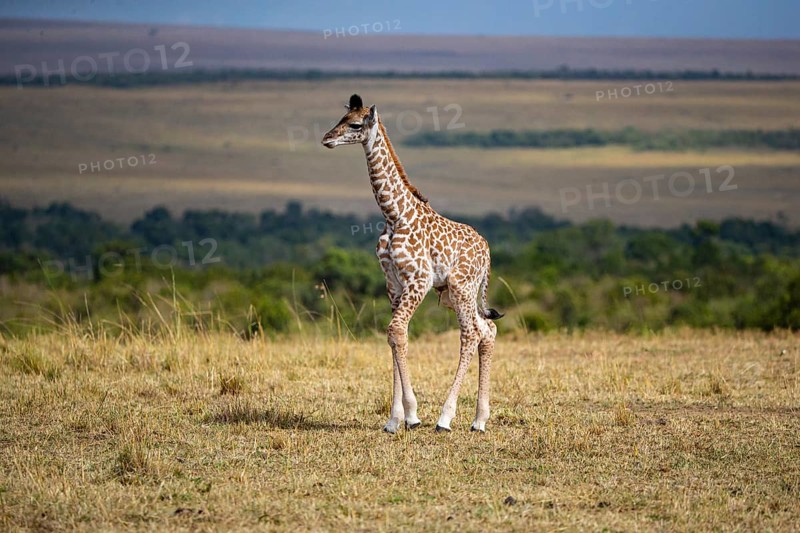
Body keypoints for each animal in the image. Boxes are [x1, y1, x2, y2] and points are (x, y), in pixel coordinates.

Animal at [322, 94, 503, 433]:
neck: (394, 215)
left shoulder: (418, 280)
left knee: (471, 334)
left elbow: (396, 330)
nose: (327, 138)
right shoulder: (393, 284)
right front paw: (395, 419)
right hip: (453, 293)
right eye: (341, 118)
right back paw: (479, 420)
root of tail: (487, 251)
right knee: (488, 329)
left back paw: (445, 418)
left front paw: (413, 415)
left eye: (355, 124)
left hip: (461, 287)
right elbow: (395, 335)